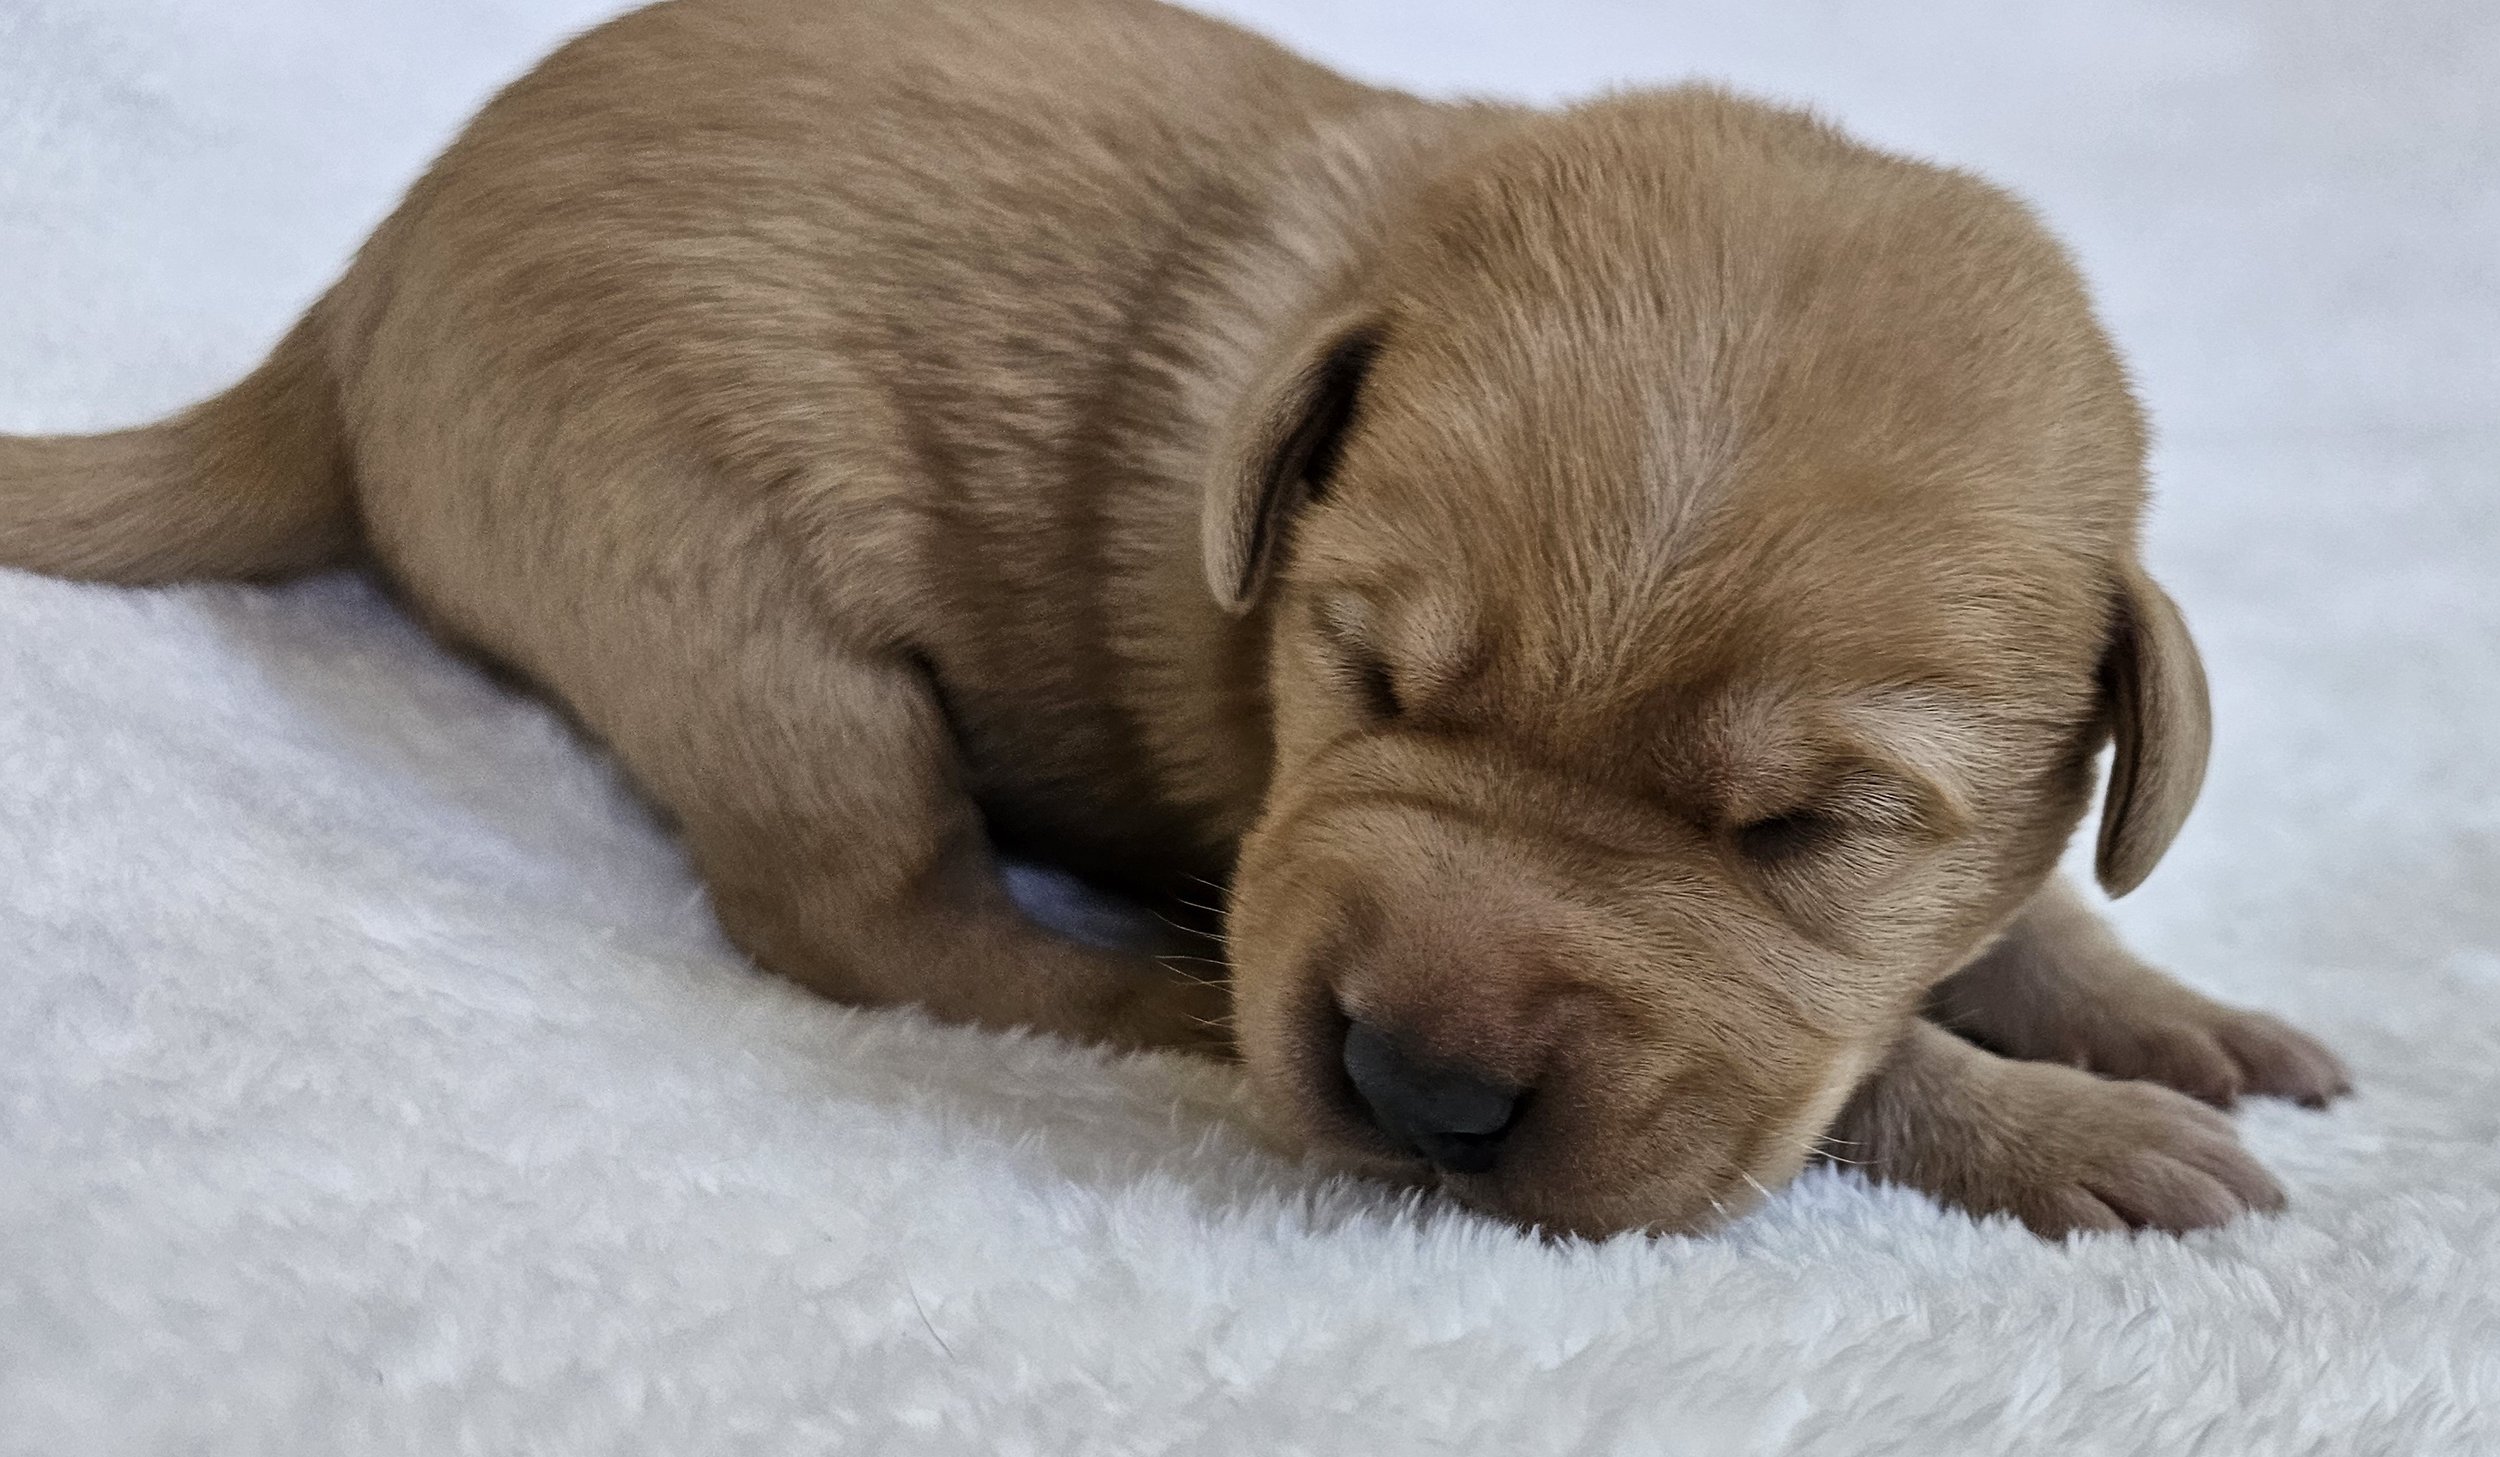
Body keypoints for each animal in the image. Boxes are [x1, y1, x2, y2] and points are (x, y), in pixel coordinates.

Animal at [0, 0, 2349, 1238]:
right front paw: (2075, 1130)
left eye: (1807, 827)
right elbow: (1850, 1068)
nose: (1413, 1083)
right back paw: (1145, 984)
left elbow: (2024, 906)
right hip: (743, 620)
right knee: (865, 916)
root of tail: (342, 317)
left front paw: (2163, 1010)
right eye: (1365, 667)